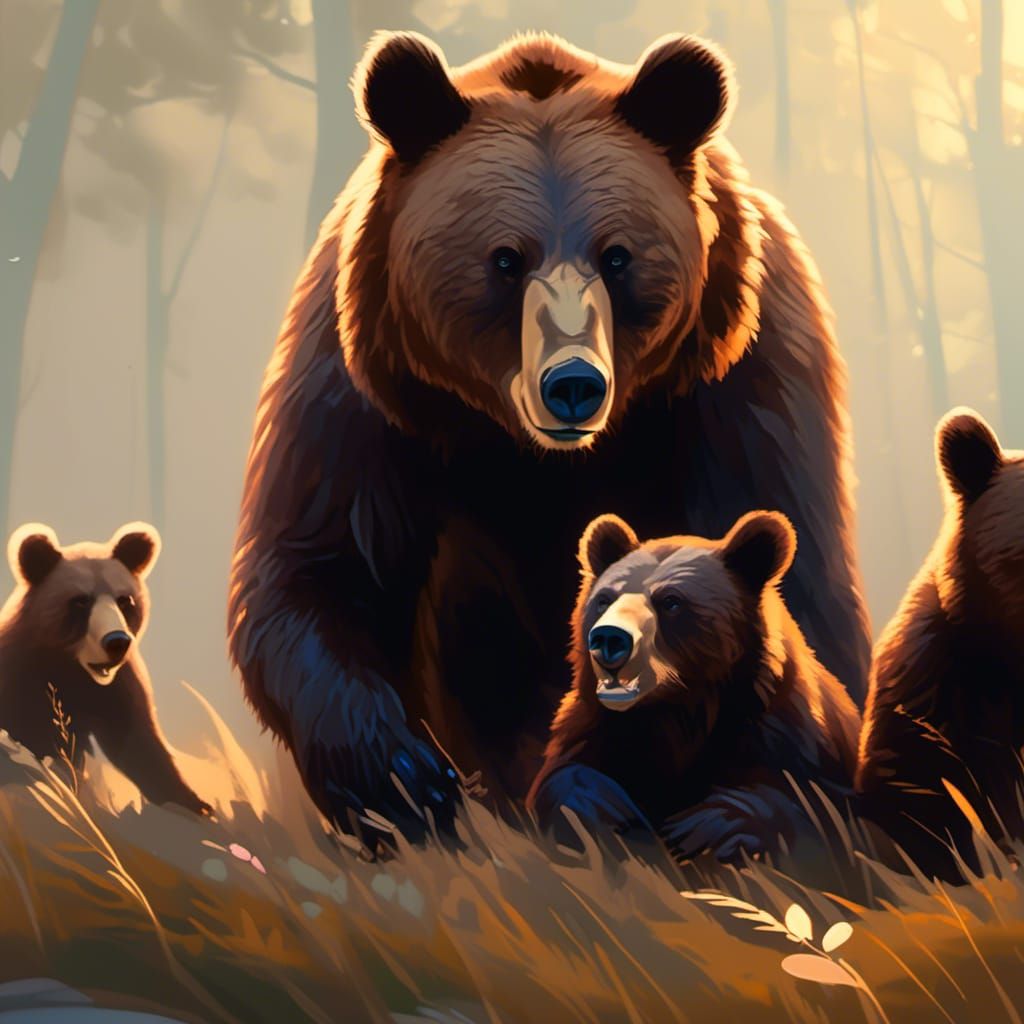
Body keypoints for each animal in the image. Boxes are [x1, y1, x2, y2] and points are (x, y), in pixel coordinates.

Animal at [0, 522, 210, 816]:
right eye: (80, 601)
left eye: (124, 600)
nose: (117, 641)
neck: (70, 669)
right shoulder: (22, 682)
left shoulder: (118, 690)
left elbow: (141, 747)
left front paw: (195, 805)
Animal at [525, 510, 861, 864]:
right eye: (605, 600)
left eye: (671, 602)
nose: (608, 638)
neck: (679, 709)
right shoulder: (598, 727)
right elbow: (566, 775)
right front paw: (605, 807)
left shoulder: (783, 732)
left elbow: (813, 809)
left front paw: (705, 828)